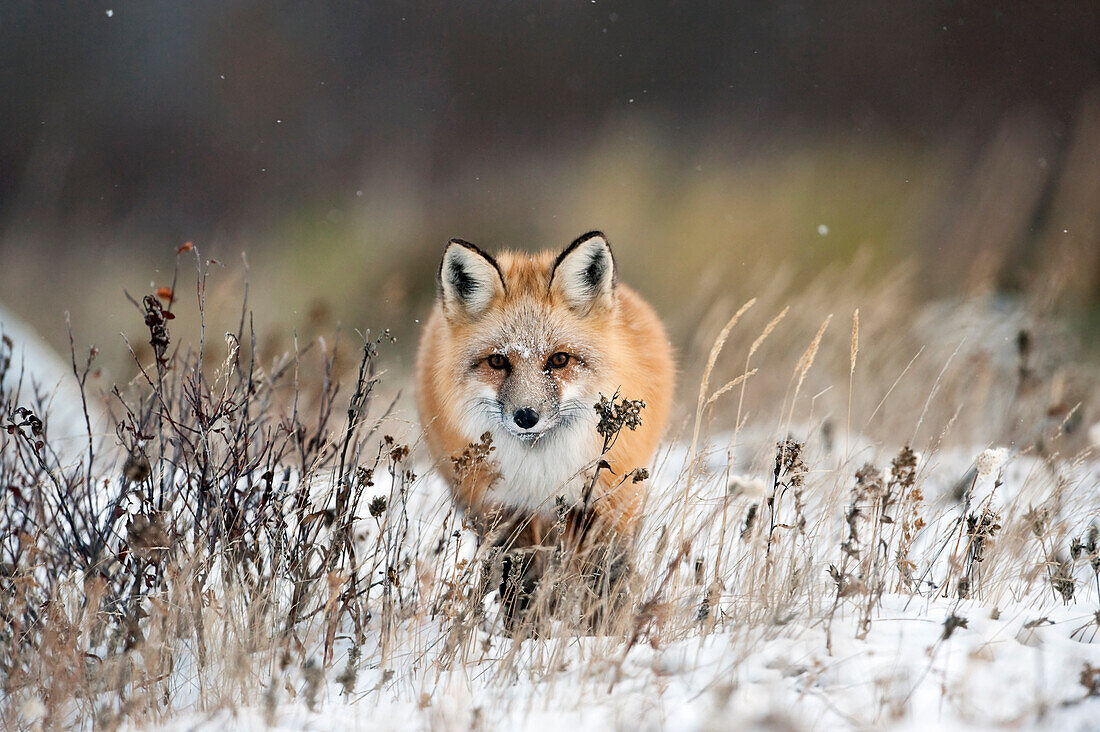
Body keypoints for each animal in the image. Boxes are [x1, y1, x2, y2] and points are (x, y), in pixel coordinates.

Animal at [413, 231, 668, 556]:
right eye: (497, 361)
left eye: (559, 359)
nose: (526, 417)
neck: (541, 471)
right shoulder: (501, 508)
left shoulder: (613, 501)